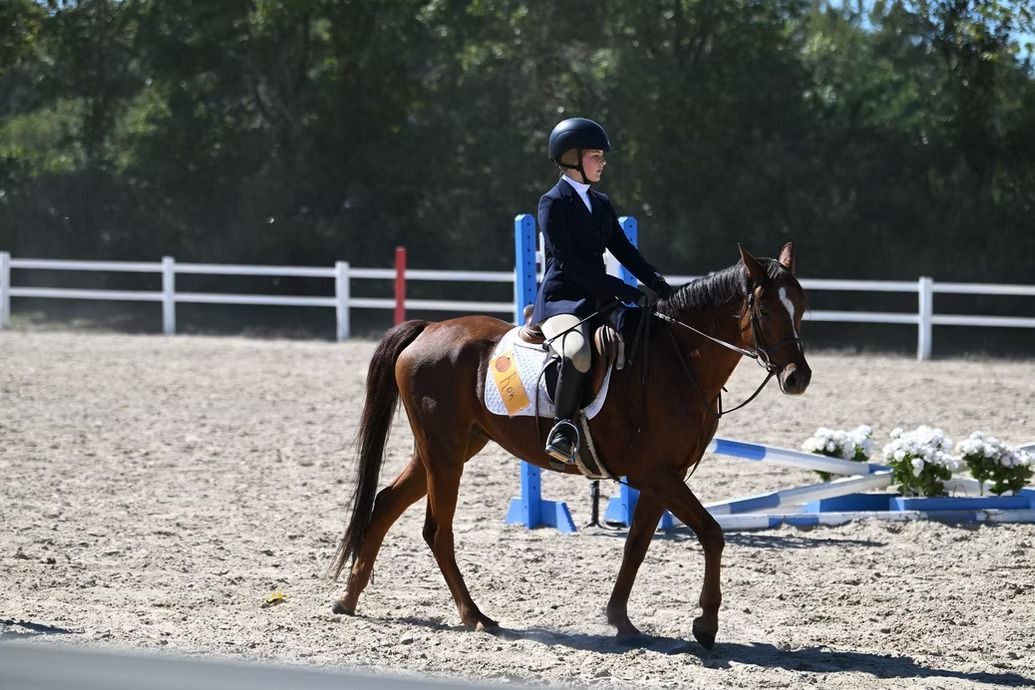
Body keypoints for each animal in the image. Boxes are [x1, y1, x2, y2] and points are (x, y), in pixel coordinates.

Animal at [328, 243, 810, 649]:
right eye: (765, 307)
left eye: (801, 307)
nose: (798, 378)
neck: (677, 361)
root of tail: (429, 328)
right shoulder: (657, 473)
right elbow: (711, 533)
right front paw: (706, 625)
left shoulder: (659, 478)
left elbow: (637, 544)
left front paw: (621, 620)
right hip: (445, 452)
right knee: (437, 531)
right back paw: (475, 616)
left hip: (451, 446)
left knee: (386, 503)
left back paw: (349, 598)